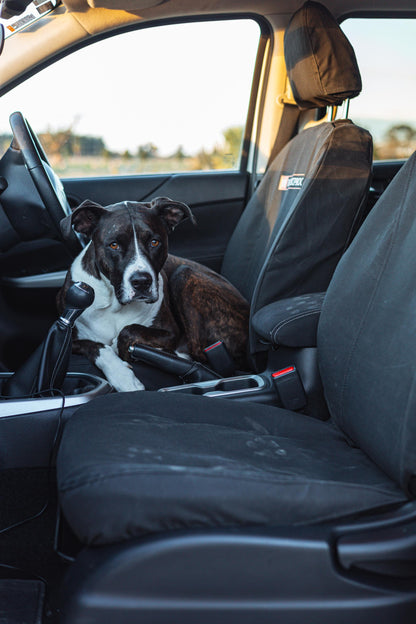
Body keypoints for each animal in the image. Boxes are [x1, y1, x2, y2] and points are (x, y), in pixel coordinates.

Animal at [57, 196, 249, 390]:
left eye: (154, 242)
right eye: (114, 245)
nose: (141, 281)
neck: (115, 305)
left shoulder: (170, 332)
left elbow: (129, 330)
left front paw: (127, 351)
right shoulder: (68, 336)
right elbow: (95, 346)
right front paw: (122, 377)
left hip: (184, 274)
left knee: (198, 351)